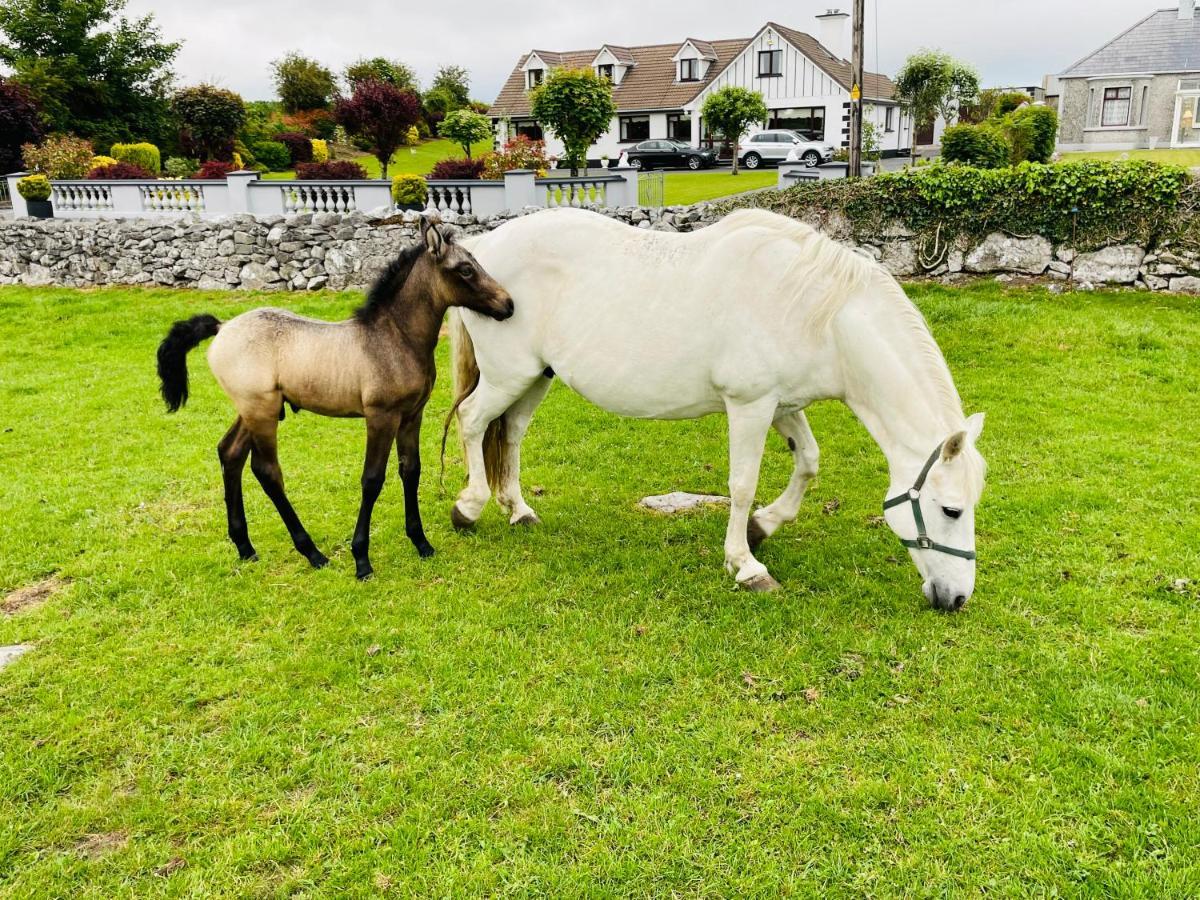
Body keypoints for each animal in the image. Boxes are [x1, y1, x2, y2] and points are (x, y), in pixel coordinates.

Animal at [154, 222, 511, 580]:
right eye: (465, 269)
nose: (507, 305)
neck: (395, 338)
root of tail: (222, 326)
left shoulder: (412, 415)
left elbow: (411, 470)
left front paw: (421, 543)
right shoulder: (381, 417)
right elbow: (372, 479)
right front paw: (361, 559)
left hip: (252, 411)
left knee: (230, 453)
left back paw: (245, 546)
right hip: (262, 412)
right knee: (266, 471)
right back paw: (312, 552)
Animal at [448, 207, 984, 609]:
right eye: (951, 510)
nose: (957, 598)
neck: (818, 315)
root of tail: (485, 249)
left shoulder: (781, 403)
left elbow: (808, 462)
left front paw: (763, 527)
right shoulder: (750, 404)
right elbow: (742, 485)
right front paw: (746, 566)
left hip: (534, 377)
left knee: (511, 432)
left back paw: (519, 510)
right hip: (508, 375)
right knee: (473, 421)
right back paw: (468, 509)